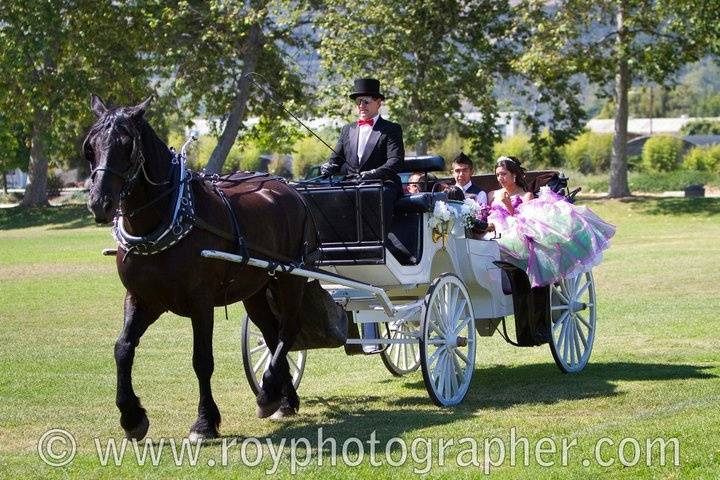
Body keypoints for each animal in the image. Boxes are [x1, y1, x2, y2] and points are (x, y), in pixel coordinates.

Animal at [85, 95, 316, 440]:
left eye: (127, 145)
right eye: (91, 147)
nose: (100, 202)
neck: (166, 217)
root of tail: (289, 188)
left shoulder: (201, 302)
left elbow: (202, 360)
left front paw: (205, 422)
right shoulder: (143, 299)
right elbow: (123, 348)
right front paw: (131, 417)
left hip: (290, 279)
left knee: (288, 330)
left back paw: (267, 394)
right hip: (256, 289)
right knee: (272, 335)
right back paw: (281, 399)